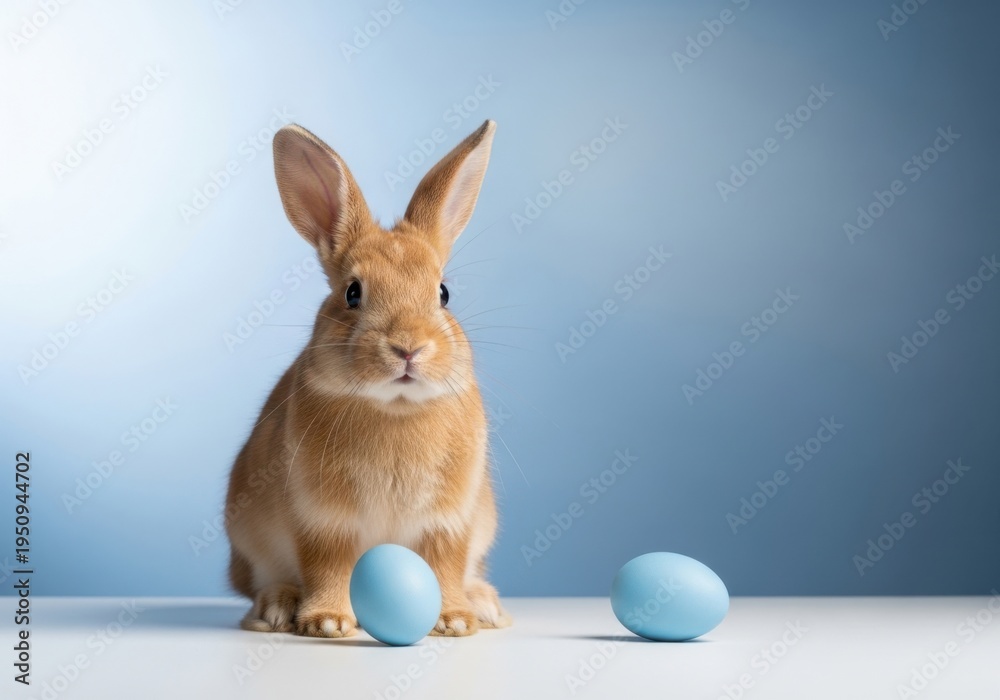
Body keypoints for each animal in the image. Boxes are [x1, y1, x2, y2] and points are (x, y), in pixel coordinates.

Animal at [224, 119, 510, 638]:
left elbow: (444, 563)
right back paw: (277, 608)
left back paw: (484, 606)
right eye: (352, 293)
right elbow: (329, 563)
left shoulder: (448, 521)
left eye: (443, 293)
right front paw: (328, 622)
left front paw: (454, 621)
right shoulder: (324, 519)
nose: (408, 347)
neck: (394, 407)